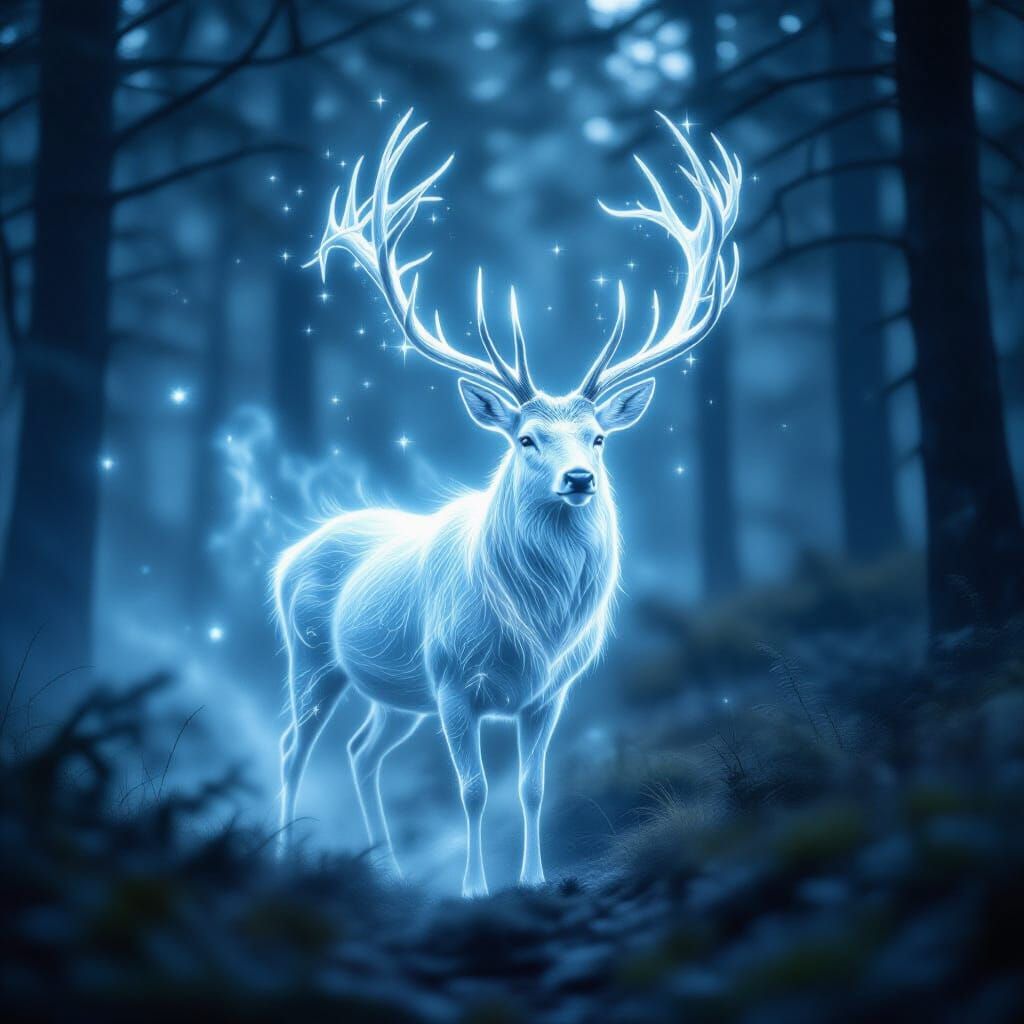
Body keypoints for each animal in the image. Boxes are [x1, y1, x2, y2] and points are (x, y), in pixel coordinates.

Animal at [274, 110, 740, 896]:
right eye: (526, 438)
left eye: (598, 437)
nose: (579, 479)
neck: (533, 626)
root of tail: (286, 557)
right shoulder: (453, 679)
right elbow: (472, 789)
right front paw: (473, 887)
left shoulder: (550, 691)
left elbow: (531, 787)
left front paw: (534, 878)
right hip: (311, 656)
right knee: (291, 744)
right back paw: (276, 849)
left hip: (394, 690)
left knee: (364, 750)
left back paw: (390, 868)